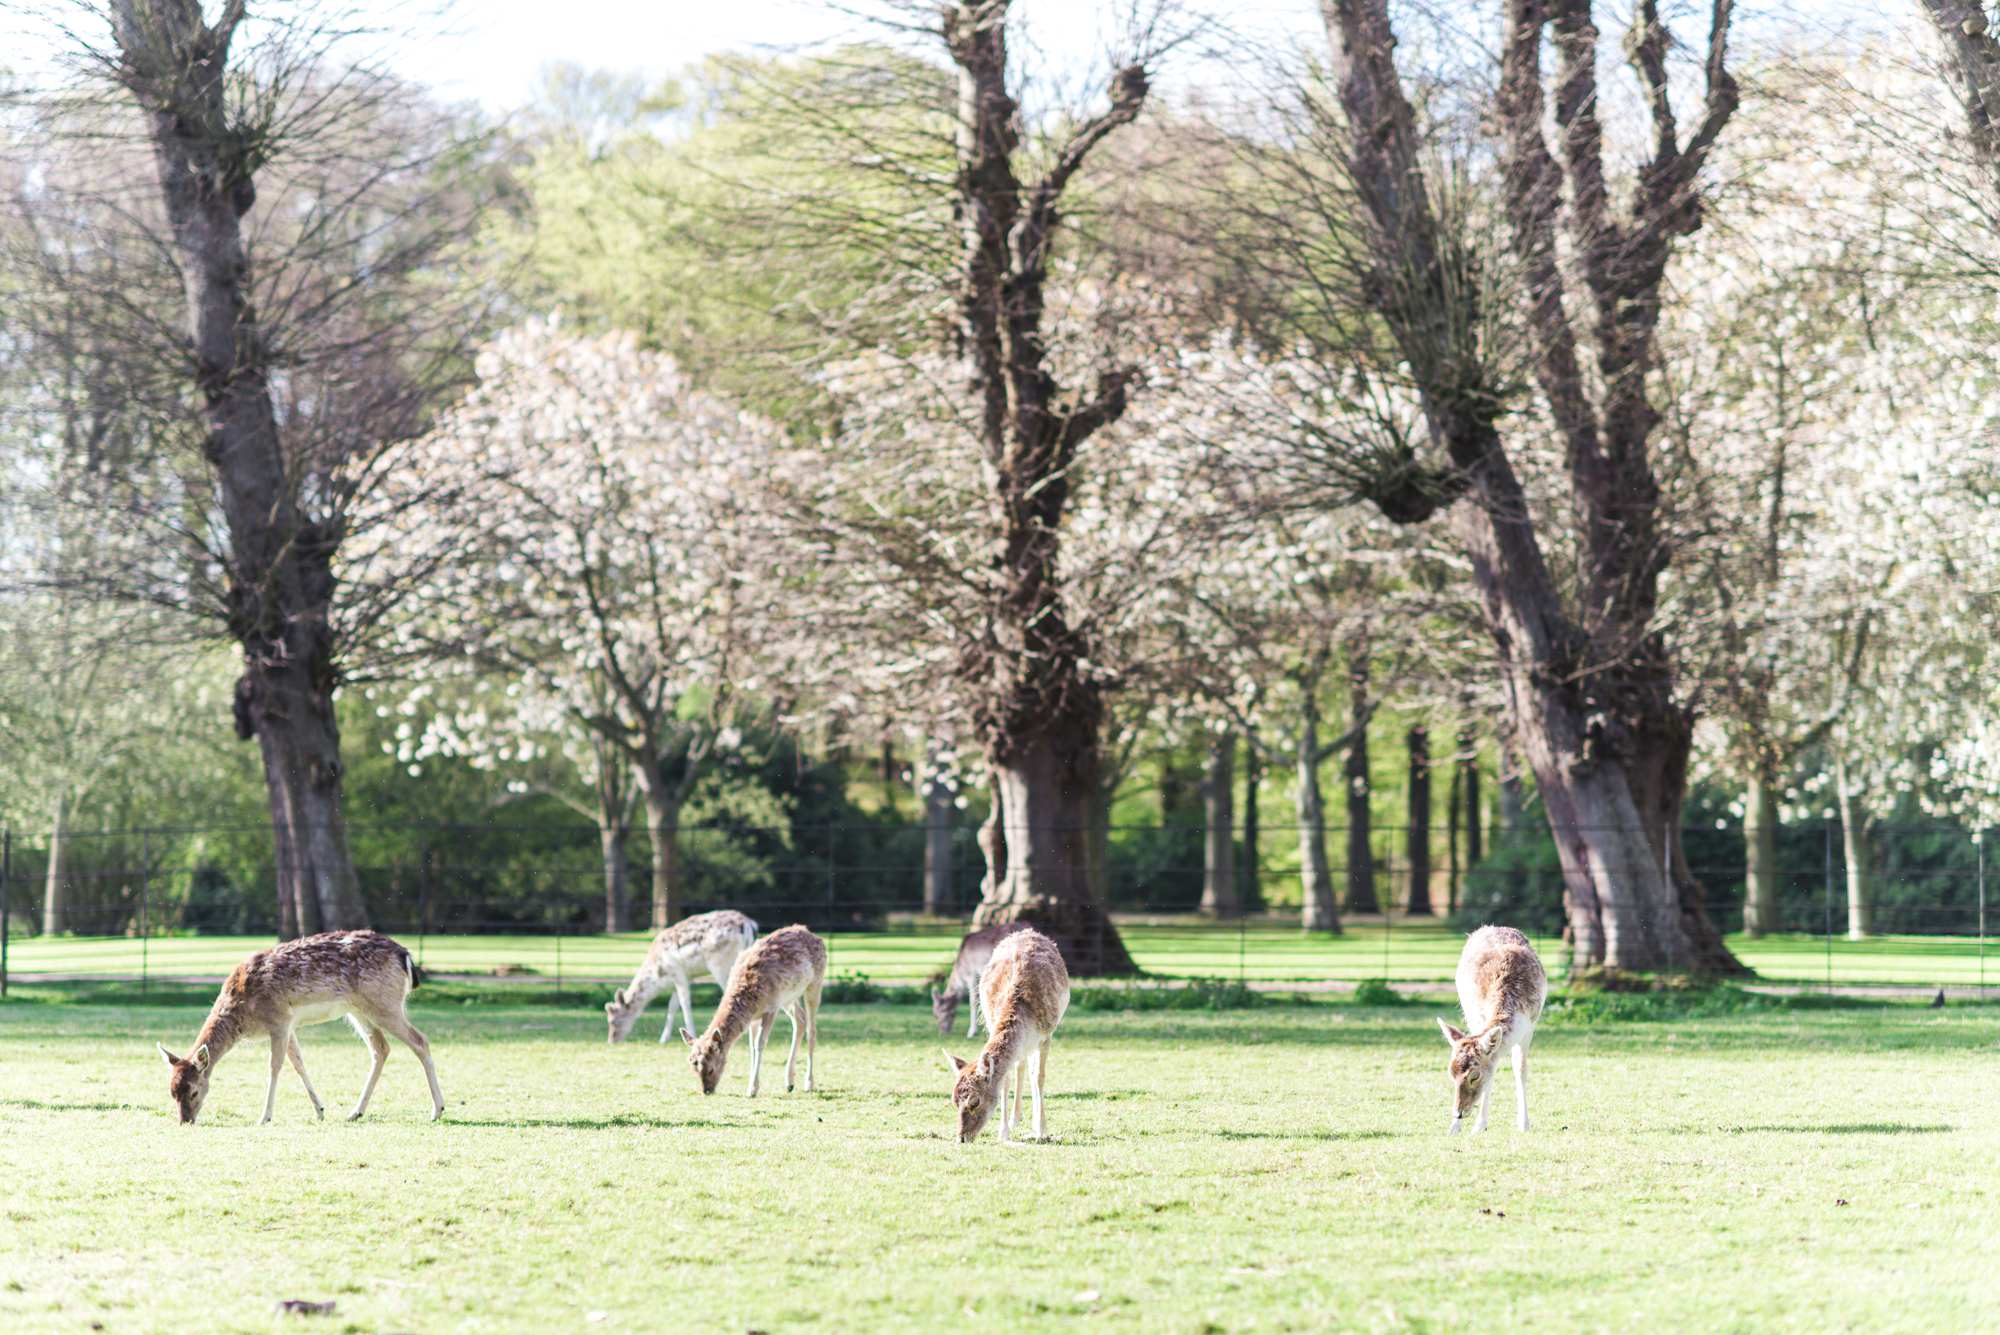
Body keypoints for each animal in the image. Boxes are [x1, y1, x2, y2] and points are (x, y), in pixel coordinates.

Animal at [160, 927, 450, 1127]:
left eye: (194, 1091)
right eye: (172, 1092)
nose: (185, 1120)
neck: (242, 1012)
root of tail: (406, 956)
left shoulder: (279, 1020)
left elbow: (275, 1067)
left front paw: (264, 1117)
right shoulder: (288, 1026)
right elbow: (299, 1063)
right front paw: (320, 1111)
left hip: (385, 1003)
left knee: (420, 1040)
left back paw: (437, 1110)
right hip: (359, 1010)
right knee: (381, 1048)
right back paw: (355, 1112)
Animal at [600, 911, 756, 1047]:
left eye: (613, 1021)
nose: (611, 1041)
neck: (658, 975)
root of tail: (749, 925)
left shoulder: (678, 973)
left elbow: (684, 1003)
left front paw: (691, 1034)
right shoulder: (687, 977)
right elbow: (672, 1005)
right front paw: (663, 1039)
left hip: (721, 964)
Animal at [680, 923, 820, 1103]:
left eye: (710, 1068)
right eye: (694, 1068)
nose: (707, 1091)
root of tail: (811, 933)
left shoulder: (771, 1007)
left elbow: (760, 1044)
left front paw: (752, 1090)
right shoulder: (754, 1017)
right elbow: (752, 1047)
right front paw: (752, 1085)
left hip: (815, 982)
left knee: (812, 1029)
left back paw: (809, 1083)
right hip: (788, 997)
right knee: (800, 1020)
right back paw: (789, 1082)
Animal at [944, 923, 1072, 1143]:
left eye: (975, 1102)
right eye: (954, 1101)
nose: (962, 1138)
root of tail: (1028, 931)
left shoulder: (1046, 1035)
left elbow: (1040, 1076)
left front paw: (1041, 1129)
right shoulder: (991, 1023)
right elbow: (1005, 1079)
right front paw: (1003, 1132)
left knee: (1032, 1071)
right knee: (1020, 1065)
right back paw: (1015, 1119)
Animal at [1440, 927, 1544, 1135]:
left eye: (1474, 1075)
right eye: (1450, 1073)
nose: (1458, 1113)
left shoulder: (1530, 1026)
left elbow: (1520, 1069)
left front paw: (1524, 1124)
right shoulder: (1476, 1018)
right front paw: (1475, 1126)